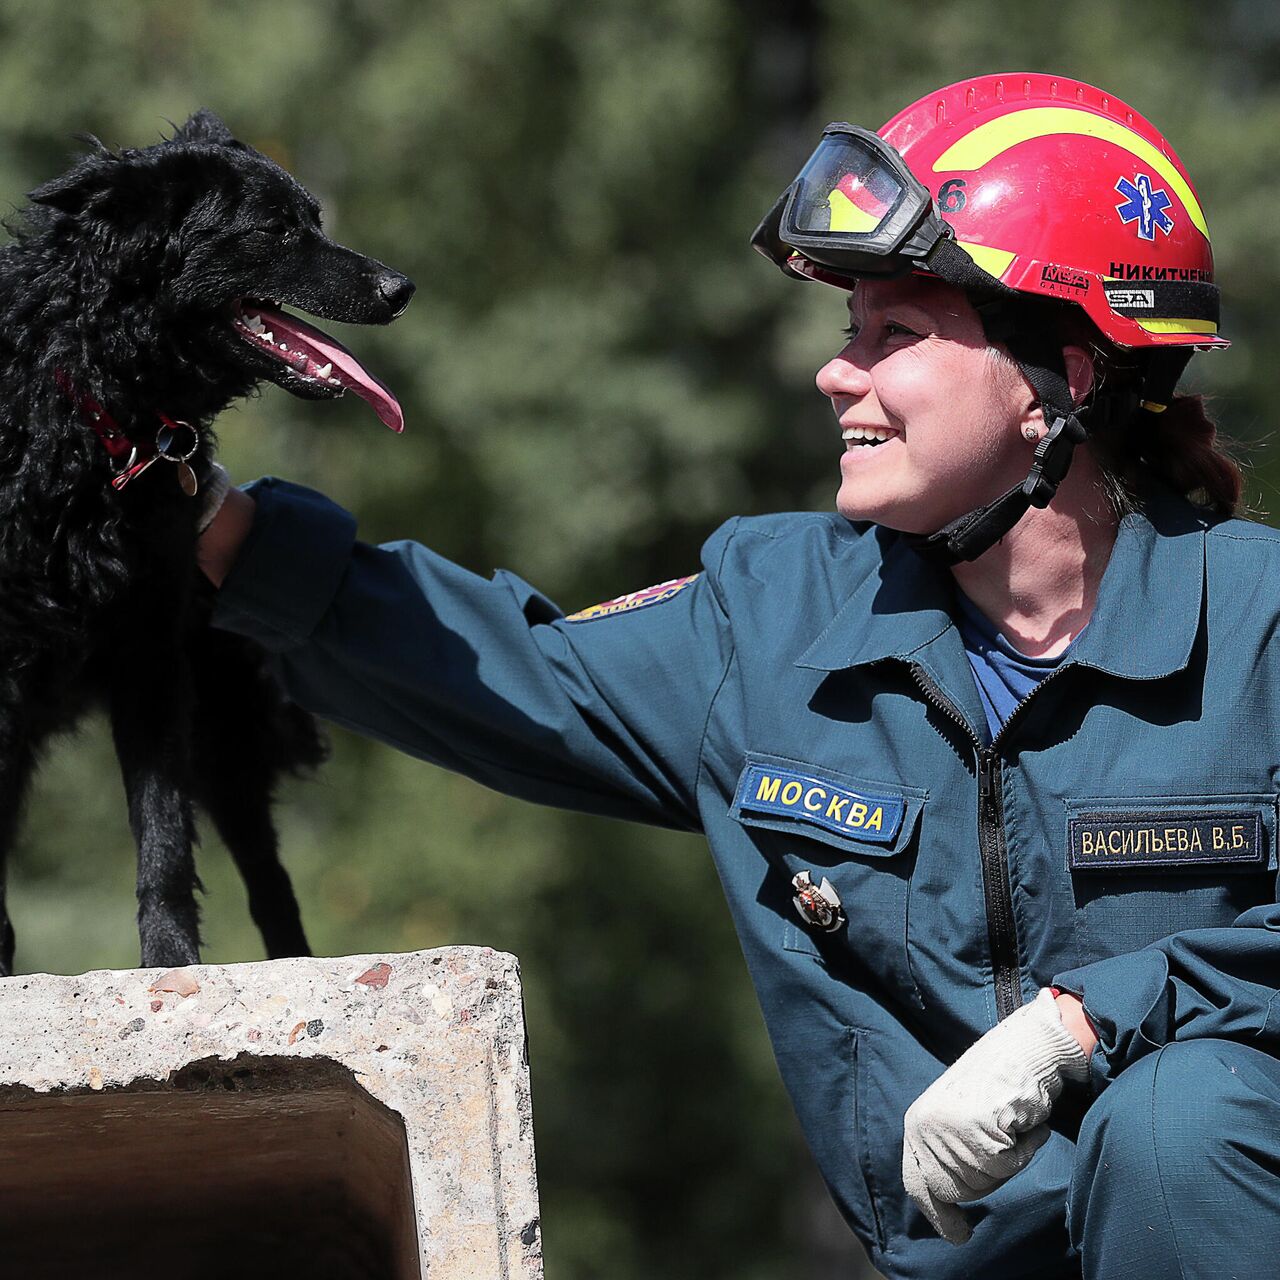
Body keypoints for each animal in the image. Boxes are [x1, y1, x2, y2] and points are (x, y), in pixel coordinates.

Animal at [0, 112, 412, 967]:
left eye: (313, 219)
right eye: (275, 228)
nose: (402, 288)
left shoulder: (153, 648)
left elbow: (162, 832)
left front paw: (170, 964)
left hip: (222, 730)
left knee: (270, 881)